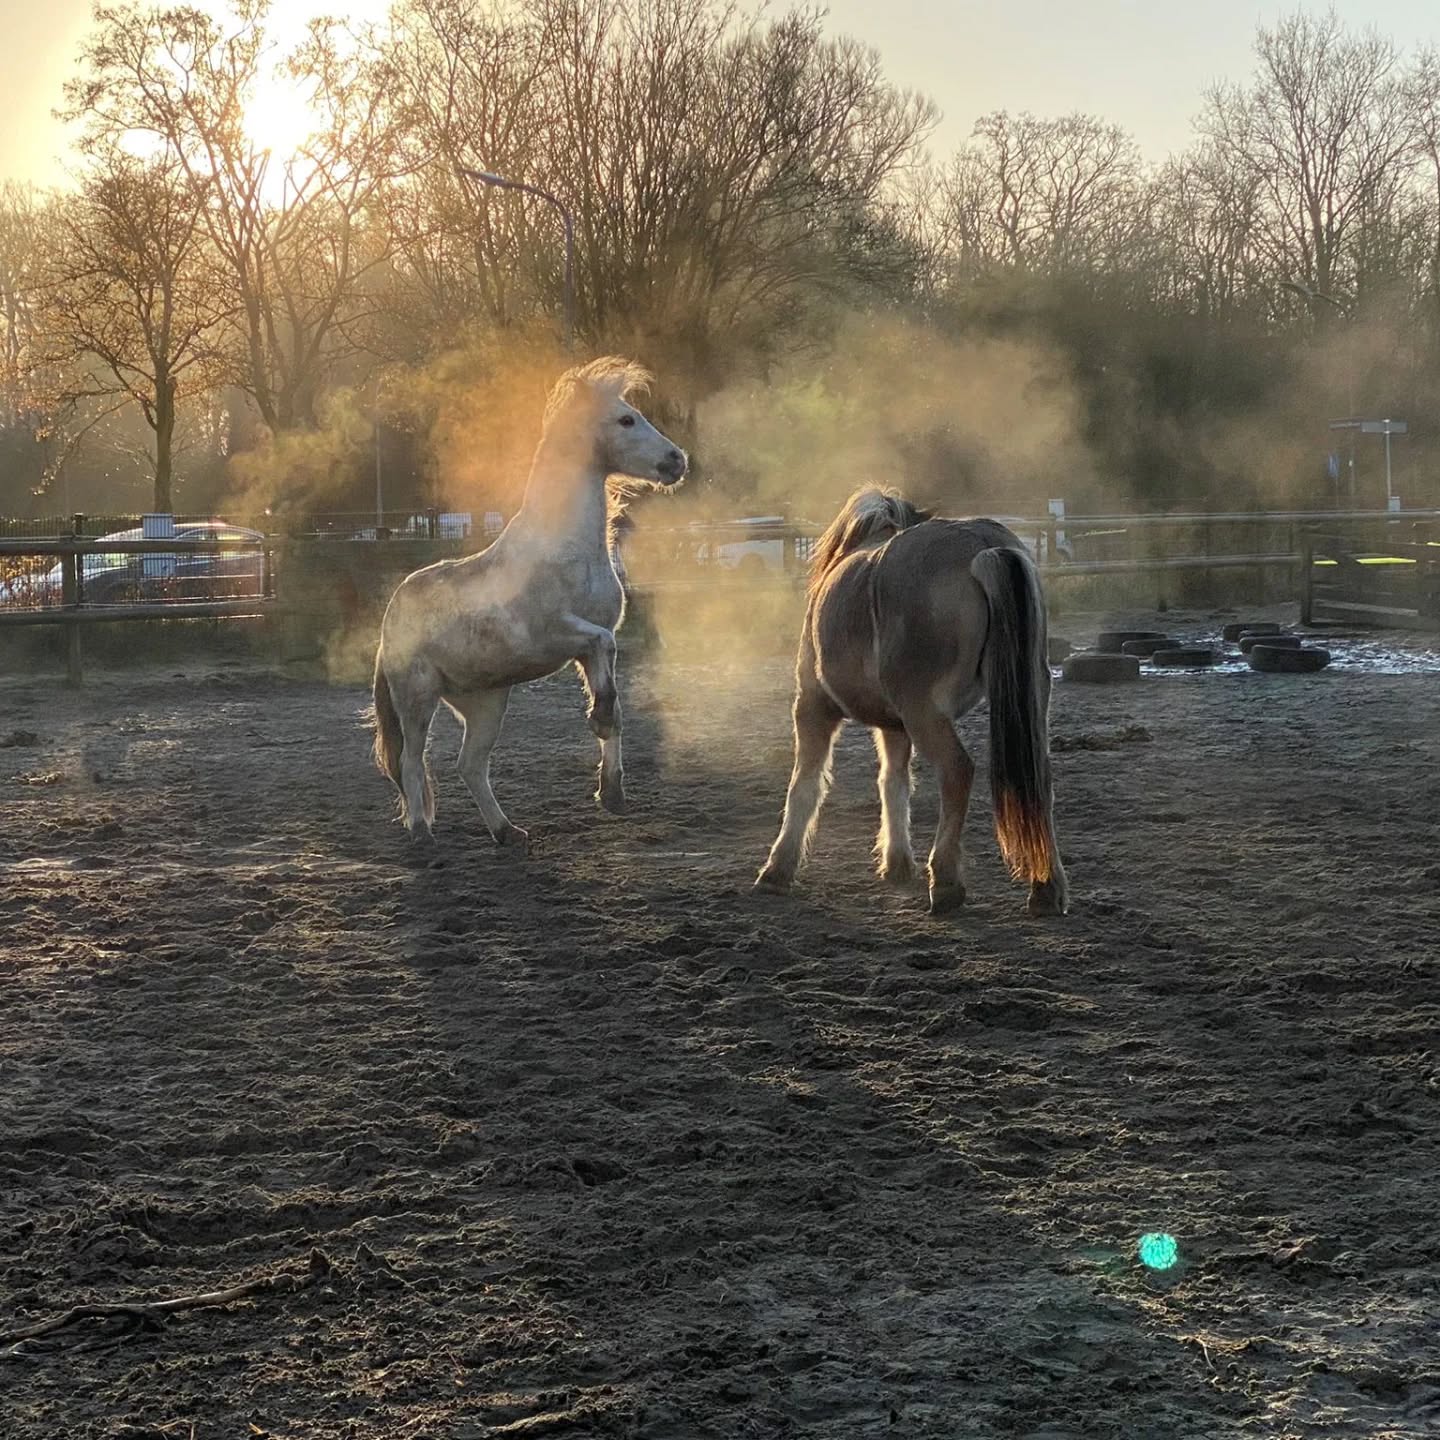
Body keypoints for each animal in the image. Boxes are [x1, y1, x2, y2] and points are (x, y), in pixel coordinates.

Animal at [371, 357, 687, 848]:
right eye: (626, 419)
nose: (677, 461)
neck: (568, 547)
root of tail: (390, 619)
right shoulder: (554, 634)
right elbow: (603, 646)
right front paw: (598, 725)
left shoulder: (587, 648)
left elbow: (614, 699)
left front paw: (612, 791)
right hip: (417, 698)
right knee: (411, 763)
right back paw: (421, 832)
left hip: (486, 701)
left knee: (470, 765)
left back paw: (506, 831)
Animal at [755, 486, 1068, 916]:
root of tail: (985, 547)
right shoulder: (894, 726)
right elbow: (895, 783)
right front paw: (898, 863)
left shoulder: (813, 707)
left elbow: (805, 784)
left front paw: (777, 869)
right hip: (1026, 703)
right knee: (1040, 783)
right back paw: (1046, 889)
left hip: (925, 714)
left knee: (957, 770)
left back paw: (947, 882)